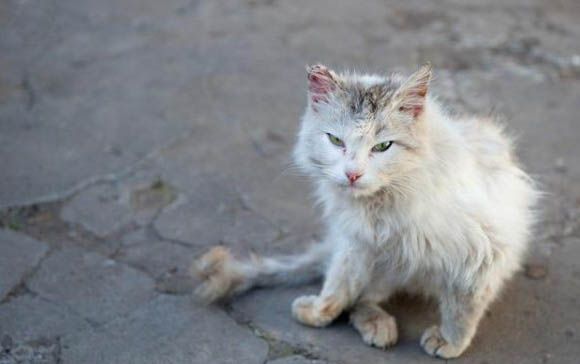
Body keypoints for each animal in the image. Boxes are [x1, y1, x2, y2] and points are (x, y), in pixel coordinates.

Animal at [191, 63, 540, 358]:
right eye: (335, 140)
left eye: (383, 147)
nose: (352, 174)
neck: (382, 204)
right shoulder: (355, 242)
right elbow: (337, 285)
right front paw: (318, 312)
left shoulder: (482, 254)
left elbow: (462, 308)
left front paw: (450, 342)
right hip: (381, 263)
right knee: (360, 298)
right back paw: (378, 326)